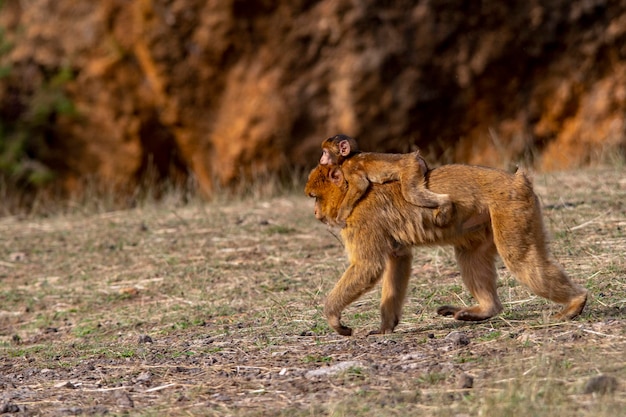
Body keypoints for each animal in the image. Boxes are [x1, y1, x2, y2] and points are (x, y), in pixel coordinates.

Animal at [304, 162, 588, 334]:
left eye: (315, 197)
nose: (315, 213)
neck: (353, 193)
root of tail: (516, 180)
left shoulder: (362, 220)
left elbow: (368, 266)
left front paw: (332, 315)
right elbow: (398, 258)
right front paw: (386, 326)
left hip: (512, 209)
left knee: (519, 258)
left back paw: (575, 302)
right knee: (470, 255)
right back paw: (486, 309)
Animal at [320, 134, 450, 226]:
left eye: (325, 153)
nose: (321, 159)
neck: (347, 157)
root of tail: (414, 156)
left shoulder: (349, 168)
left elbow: (361, 185)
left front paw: (340, 217)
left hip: (411, 168)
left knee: (411, 194)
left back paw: (445, 202)